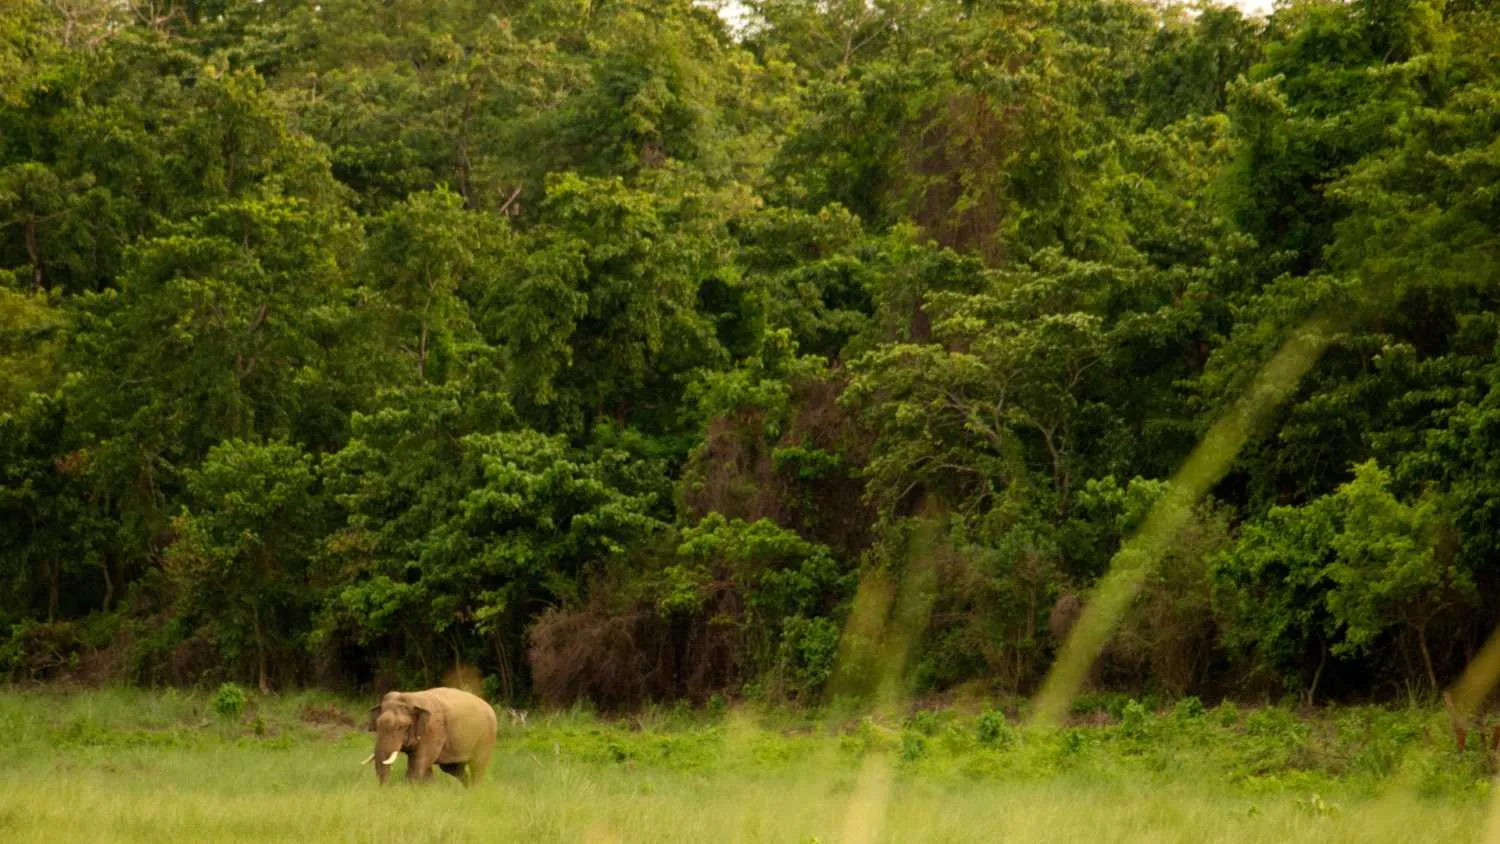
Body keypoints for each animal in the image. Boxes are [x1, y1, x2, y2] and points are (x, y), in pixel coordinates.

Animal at [362, 687, 498, 787]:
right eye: (377, 725)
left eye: (401, 726)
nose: (384, 790)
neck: (412, 698)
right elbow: (425, 765)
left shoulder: (433, 730)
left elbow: (419, 762)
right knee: (453, 768)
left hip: (486, 736)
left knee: (478, 766)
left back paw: (475, 791)